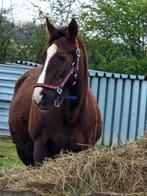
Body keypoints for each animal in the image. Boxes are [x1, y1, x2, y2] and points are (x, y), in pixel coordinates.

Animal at [8, 18, 101, 165]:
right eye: (44, 56)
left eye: (62, 57)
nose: (38, 96)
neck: (71, 115)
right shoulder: (40, 150)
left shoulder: (85, 149)